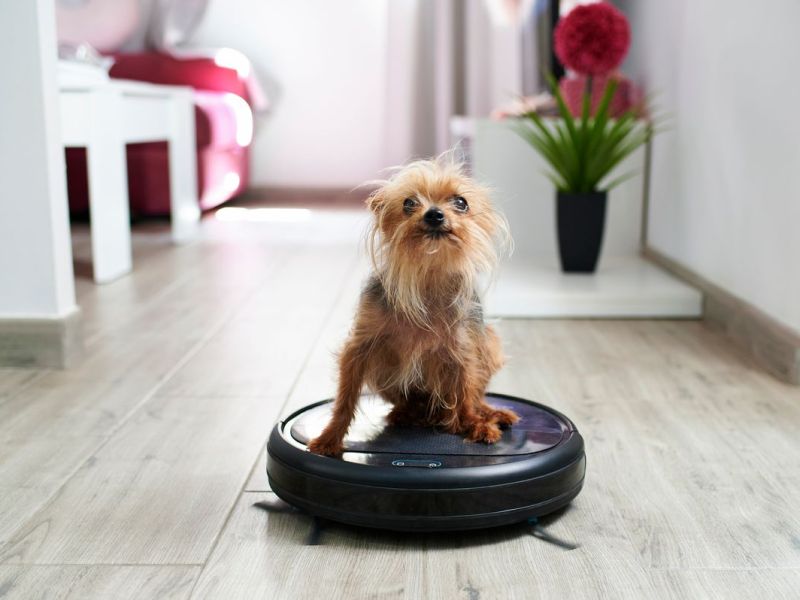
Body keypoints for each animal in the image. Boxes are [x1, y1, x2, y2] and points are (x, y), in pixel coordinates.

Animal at [306, 155, 520, 454]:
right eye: (408, 203)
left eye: (461, 202)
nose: (434, 214)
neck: (427, 275)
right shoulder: (360, 347)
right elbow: (345, 398)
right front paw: (330, 437)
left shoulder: (463, 352)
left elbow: (465, 392)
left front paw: (474, 424)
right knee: (410, 403)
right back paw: (408, 413)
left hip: (490, 344)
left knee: (473, 396)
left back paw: (488, 414)